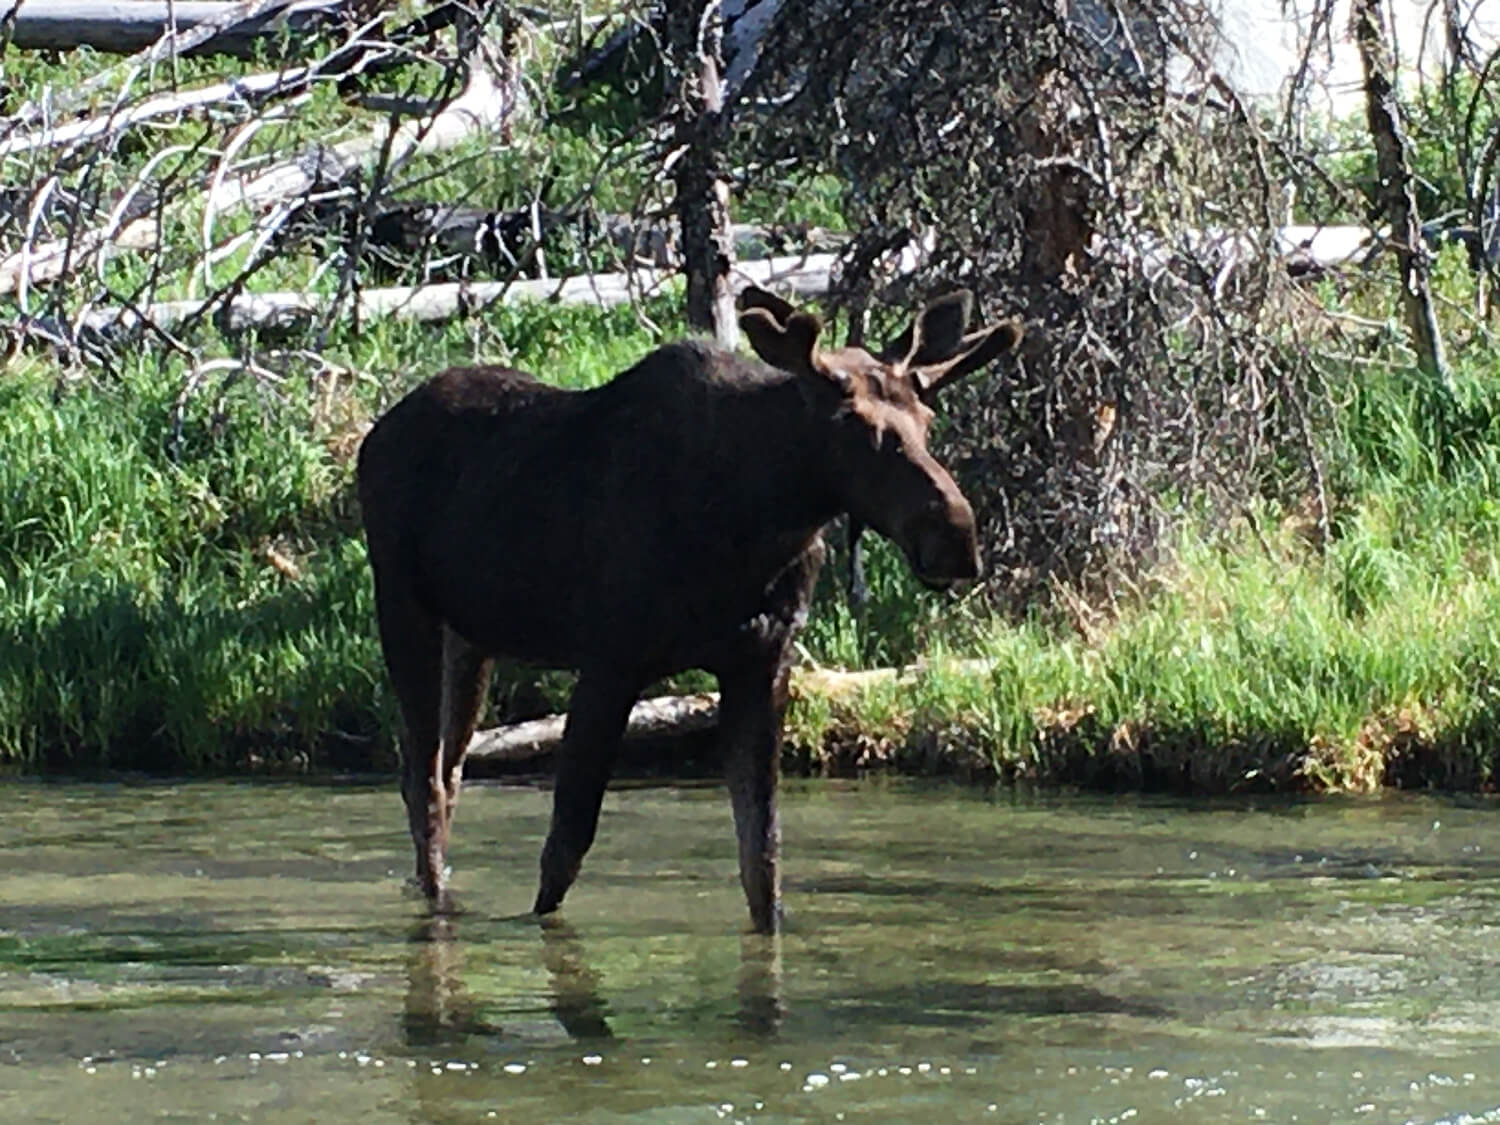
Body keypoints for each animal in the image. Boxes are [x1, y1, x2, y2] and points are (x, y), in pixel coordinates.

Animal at [356, 285, 1022, 933]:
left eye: (927, 420)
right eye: (856, 426)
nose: (958, 538)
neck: (763, 516)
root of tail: (373, 437)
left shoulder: (763, 660)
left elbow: (763, 858)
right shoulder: (612, 661)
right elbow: (565, 848)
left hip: (472, 637)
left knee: (449, 772)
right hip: (403, 605)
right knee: (423, 781)